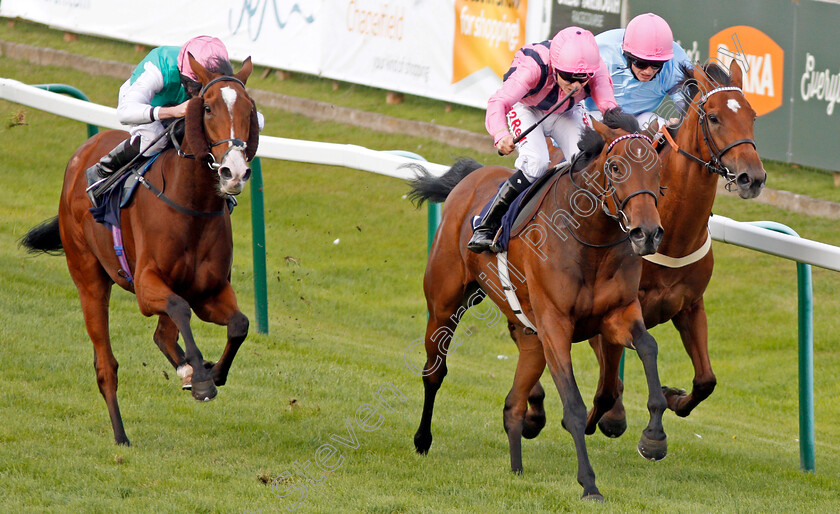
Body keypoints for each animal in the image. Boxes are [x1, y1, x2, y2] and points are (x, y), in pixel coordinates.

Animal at [22, 53, 260, 444]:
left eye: (249, 108)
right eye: (207, 108)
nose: (234, 172)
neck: (191, 206)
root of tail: (82, 153)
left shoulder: (209, 291)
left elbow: (239, 323)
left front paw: (210, 372)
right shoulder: (147, 286)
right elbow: (179, 309)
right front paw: (202, 381)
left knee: (163, 335)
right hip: (89, 279)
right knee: (106, 364)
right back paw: (121, 436)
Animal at [410, 109, 668, 500]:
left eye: (656, 168)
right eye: (616, 167)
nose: (648, 233)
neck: (590, 238)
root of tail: (473, 176)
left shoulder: (617, 315)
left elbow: (649, 347)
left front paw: (654, 437)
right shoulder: (556, 325)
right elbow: (573, 405)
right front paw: (589, 483)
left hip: (530, 337)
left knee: (512, 404)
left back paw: (516, 468)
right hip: (445, 305)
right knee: (434, 372)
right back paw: (423, 439)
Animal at [592, 60, 768, 436]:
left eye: (752, 116)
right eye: (713, 117)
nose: (753, 177)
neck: (674, 235)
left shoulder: (690, 305)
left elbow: (706, 380)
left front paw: (674, 397)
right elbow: (610, 370)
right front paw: (614, 415)